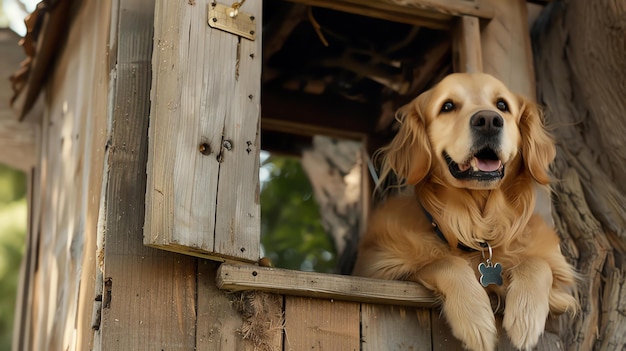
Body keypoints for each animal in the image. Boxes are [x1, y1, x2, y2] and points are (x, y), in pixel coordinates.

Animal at [352, 73, 576, 350]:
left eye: (502, 105)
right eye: (447, 106)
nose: (489, 121)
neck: (477, 228)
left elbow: (537, 263)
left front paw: (526, 317)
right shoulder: (379, 271)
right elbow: (444, 261)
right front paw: (476, 319)